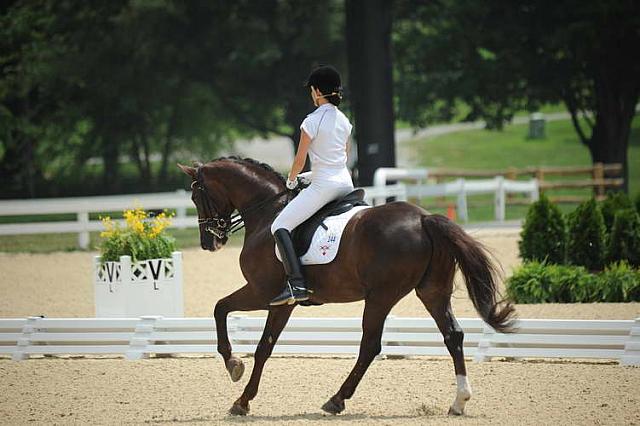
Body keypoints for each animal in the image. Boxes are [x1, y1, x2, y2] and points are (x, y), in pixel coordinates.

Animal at [176, 156, 516, 416]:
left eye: (196, 197)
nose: (209, 243)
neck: (266, 213)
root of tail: (424, 219)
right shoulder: (282, 303)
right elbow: (259, 343)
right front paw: (241, 392)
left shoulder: (264, 293)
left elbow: (225, 313)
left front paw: (235, 372)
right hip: (432, 292)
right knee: (453, 335)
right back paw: (459, 401)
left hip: (381, 297)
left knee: (370, 346)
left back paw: (336, 400)